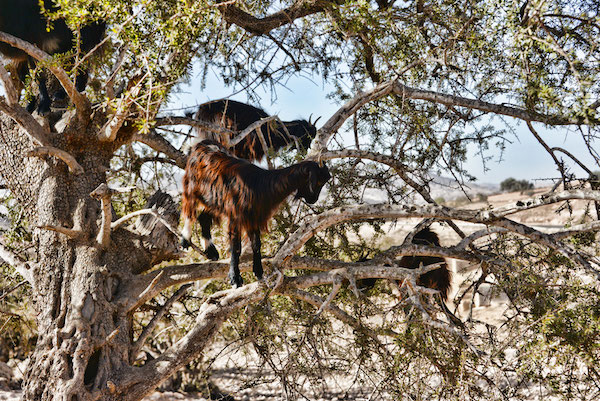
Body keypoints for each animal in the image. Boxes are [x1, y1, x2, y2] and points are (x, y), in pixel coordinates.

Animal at [180, 139, 330, 286]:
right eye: (318, 182)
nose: (313, 200)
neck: (261, 185)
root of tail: (201, 144)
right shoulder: (236, 216)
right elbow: (236, 247)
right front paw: (235, 278)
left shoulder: (253, 218)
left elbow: (256, 244)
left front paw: (258, 271)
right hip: (192, 187)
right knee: (189, 212)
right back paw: (185, 240)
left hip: (213, 200)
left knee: (203, 218)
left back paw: (211, 251)